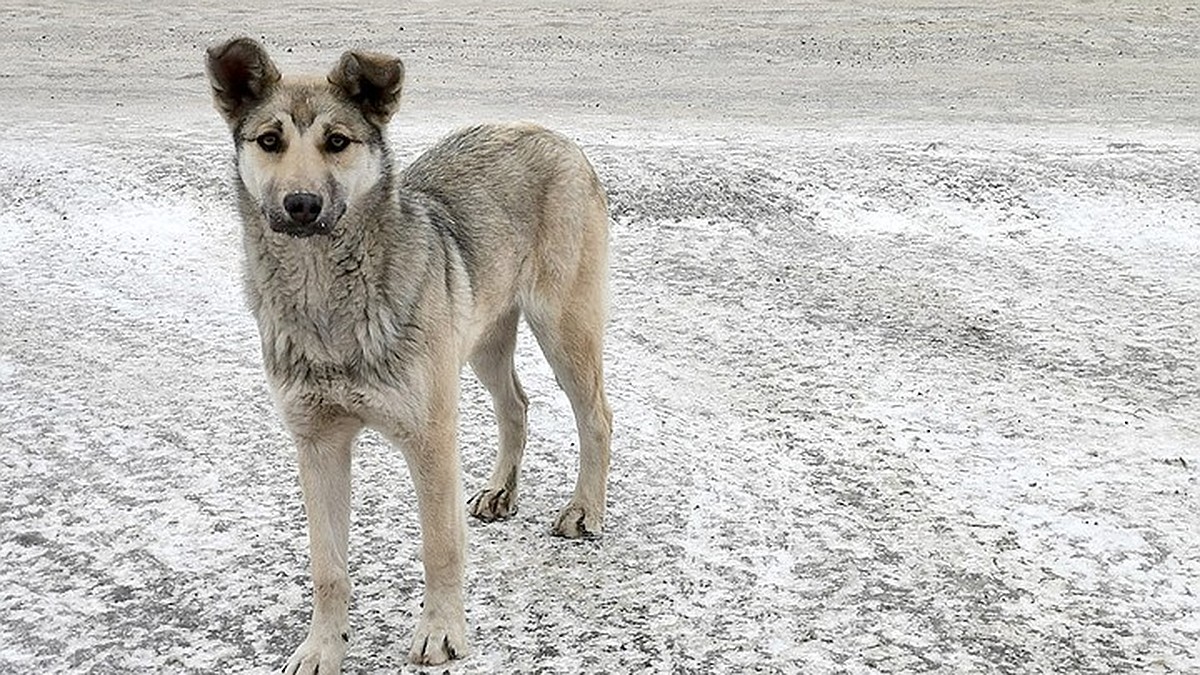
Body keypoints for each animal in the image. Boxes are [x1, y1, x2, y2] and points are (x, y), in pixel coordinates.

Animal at [206, 38, 614, 672]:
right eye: (270, 141)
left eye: (337, 142)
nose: (301, 205)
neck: (327, 302)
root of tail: (551, 135)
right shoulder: (317, 445)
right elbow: (327, 567)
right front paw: (323, 646)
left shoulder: (430, 438)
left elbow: (440, 547)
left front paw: (442, 631)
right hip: (482, 341)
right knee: (516, 406)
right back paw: (502, 490)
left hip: (562, 328)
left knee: (596, 415)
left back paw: (584, 510)